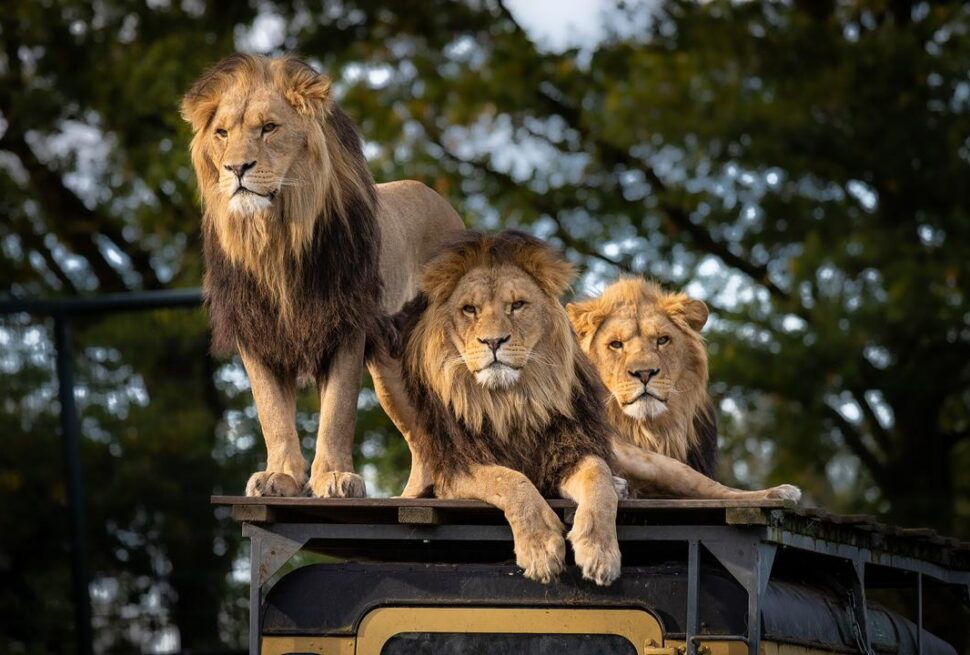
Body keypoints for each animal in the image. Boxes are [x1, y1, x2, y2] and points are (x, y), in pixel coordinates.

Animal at [181, 53, 463, 498]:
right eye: (222, 133)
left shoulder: (345, 324)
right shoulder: (256, 331)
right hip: (391, 371)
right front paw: (279, 476)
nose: (236, 168)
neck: (275, 240)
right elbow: (272, 413)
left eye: (269, 127)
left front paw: (333, 476)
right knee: (422, 438)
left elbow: (337, 411)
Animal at [394, 231, 622, 585]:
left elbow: (599, 478)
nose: (493, 341)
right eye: (469, 310)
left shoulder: (568, 451)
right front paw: (540, 547)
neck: (510, 402)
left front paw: (599, 550)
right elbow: (510, 480)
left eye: (517, 305)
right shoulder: (456, 467)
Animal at [568, 278, 801, 501]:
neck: (646, 430)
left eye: (662, 340)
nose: (644, 373)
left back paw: (780, 492)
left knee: (714, 487)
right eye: (615, 344)